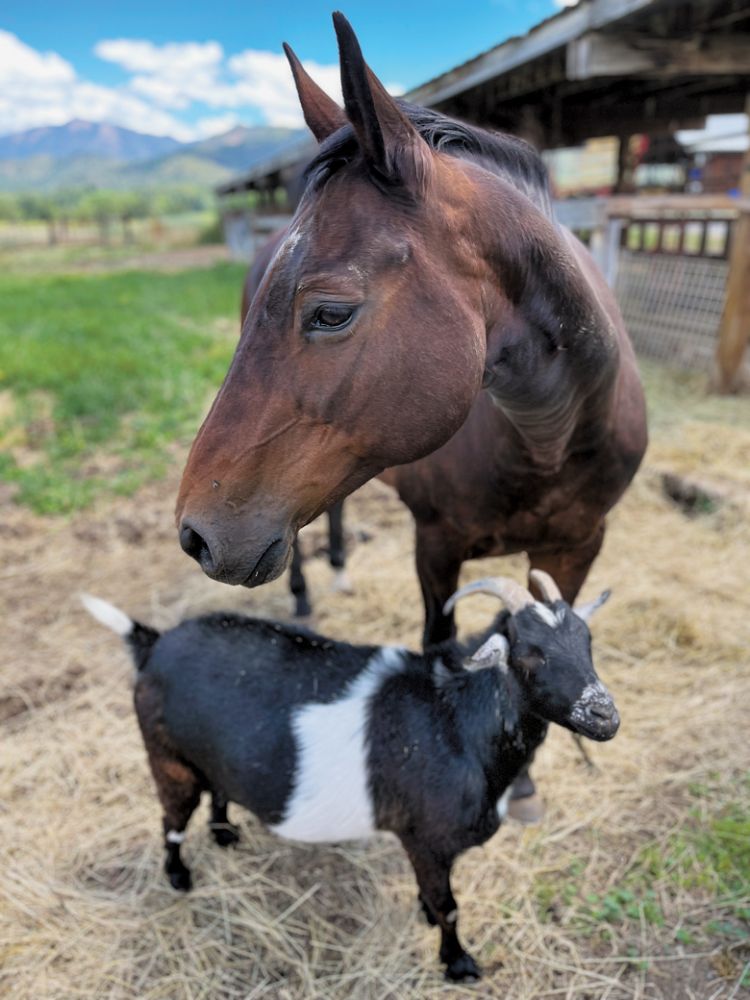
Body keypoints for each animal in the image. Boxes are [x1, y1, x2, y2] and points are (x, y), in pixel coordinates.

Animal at [85, 572, 620, 984]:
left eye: (588, 643)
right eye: (529, 654)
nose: (605, 717)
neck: (457, 720)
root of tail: (155, 642)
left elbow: (433, 896)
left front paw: (425, 918)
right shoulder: (426, 838)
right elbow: (448, 905)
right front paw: (459, 964)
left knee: (218, 789)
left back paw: (225, 835)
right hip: (168, 760)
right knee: (171, 820)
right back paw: (179, 877)